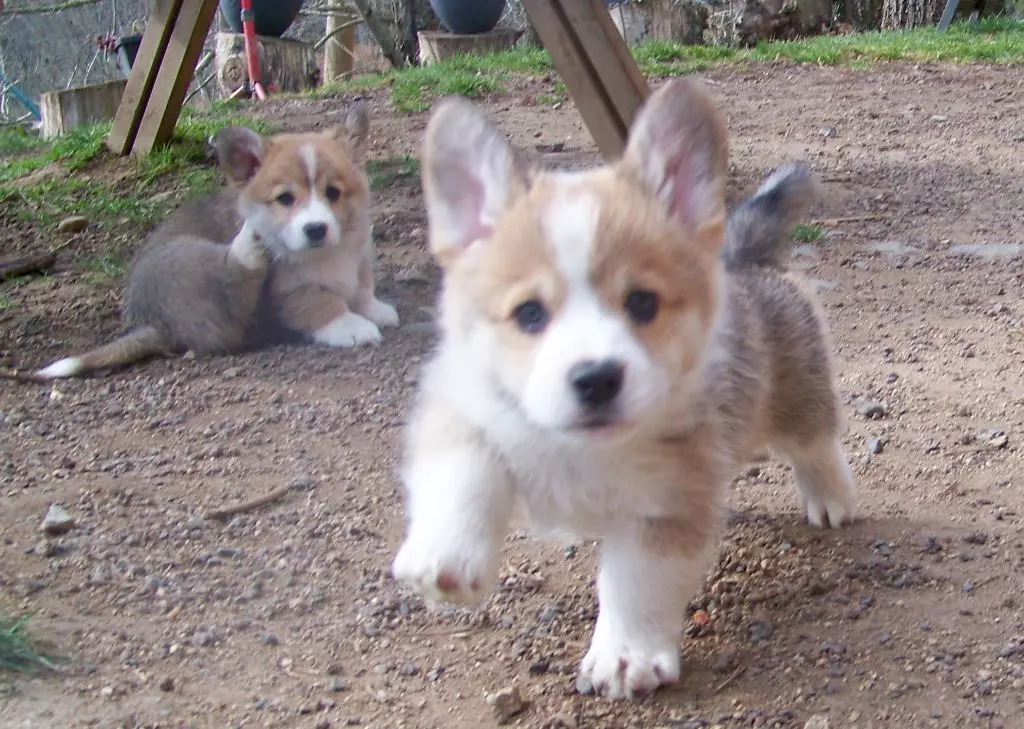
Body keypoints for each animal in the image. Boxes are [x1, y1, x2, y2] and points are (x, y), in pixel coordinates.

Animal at [36, 103, 397, 380]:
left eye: (333, 193)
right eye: (285, 198)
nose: (316, 229)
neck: (326, 253)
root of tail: (152, 323)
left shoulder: (360, 257)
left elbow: (362, 288)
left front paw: (374, 310)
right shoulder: (290, 292)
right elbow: (322, 304)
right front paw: (352, 326)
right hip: (193, 259)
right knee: (235, 282)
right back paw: (250, 240)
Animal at [391, 79, 856, 700]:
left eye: (642, 303)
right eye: (529, 313)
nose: (595, 378)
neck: (583, 450)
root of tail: (740, 256)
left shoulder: (664, 504)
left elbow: (635, 585)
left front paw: (625, 656)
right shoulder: (466, 409)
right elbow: (463, 470)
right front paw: (447, 556)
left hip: (797, 395)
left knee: (816, 443)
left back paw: (830, 498)